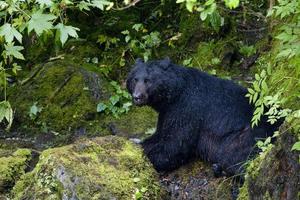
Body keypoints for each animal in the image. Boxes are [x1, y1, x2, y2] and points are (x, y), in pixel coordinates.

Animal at [126, 57, 278, 175]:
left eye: (148, 80)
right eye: (135, 79)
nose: (137, 97)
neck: (175, 93)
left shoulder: (187, 109)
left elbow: (175, 144)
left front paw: (145, 154)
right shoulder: (167, 112)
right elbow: (160, 134)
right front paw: (136, 141)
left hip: (250, 134)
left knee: (237, 157)